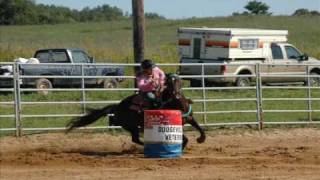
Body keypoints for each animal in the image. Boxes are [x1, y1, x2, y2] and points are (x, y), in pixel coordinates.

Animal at [67, 74, 206, 148]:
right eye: (169, 83)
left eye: (178, 81)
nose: (176, 95)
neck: (177, 105)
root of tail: (117, 106)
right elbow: (185, 138)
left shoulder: (191, 119)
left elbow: (200, 128)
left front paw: (201, 139)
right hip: (131, 126)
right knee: (135, 139)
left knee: (135, 138)